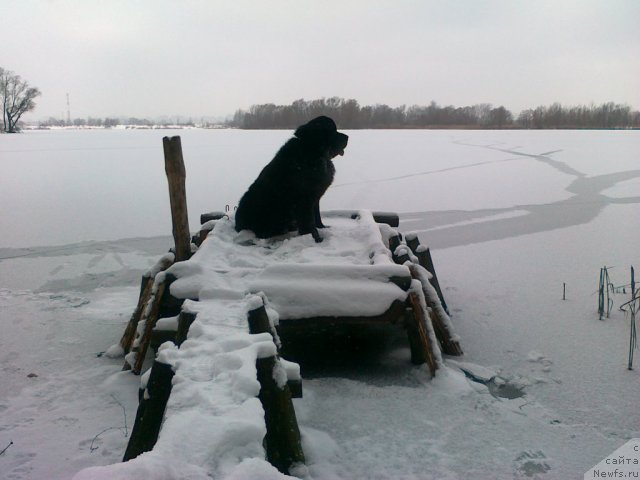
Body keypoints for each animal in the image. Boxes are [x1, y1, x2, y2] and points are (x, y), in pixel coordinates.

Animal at [234, 116, 348, 244]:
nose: (347, 137)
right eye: (332, 130)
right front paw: (316, 238)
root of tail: (237, 225)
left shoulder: (315, 197)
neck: (313, 153)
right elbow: (309, 221)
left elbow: (316, 215)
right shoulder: (305, 199)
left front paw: (322, 227)